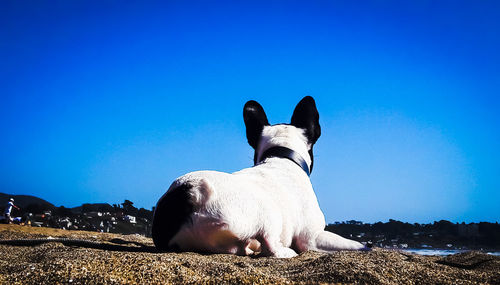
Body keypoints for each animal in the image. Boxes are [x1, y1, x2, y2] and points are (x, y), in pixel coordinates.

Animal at [152, 96, 372, 256]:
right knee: (271, 246)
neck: (281, 156)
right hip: (265, 212)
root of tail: (191, 193)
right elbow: (355, 244)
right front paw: (364, 246)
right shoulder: (312, 238)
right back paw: (285, 251)